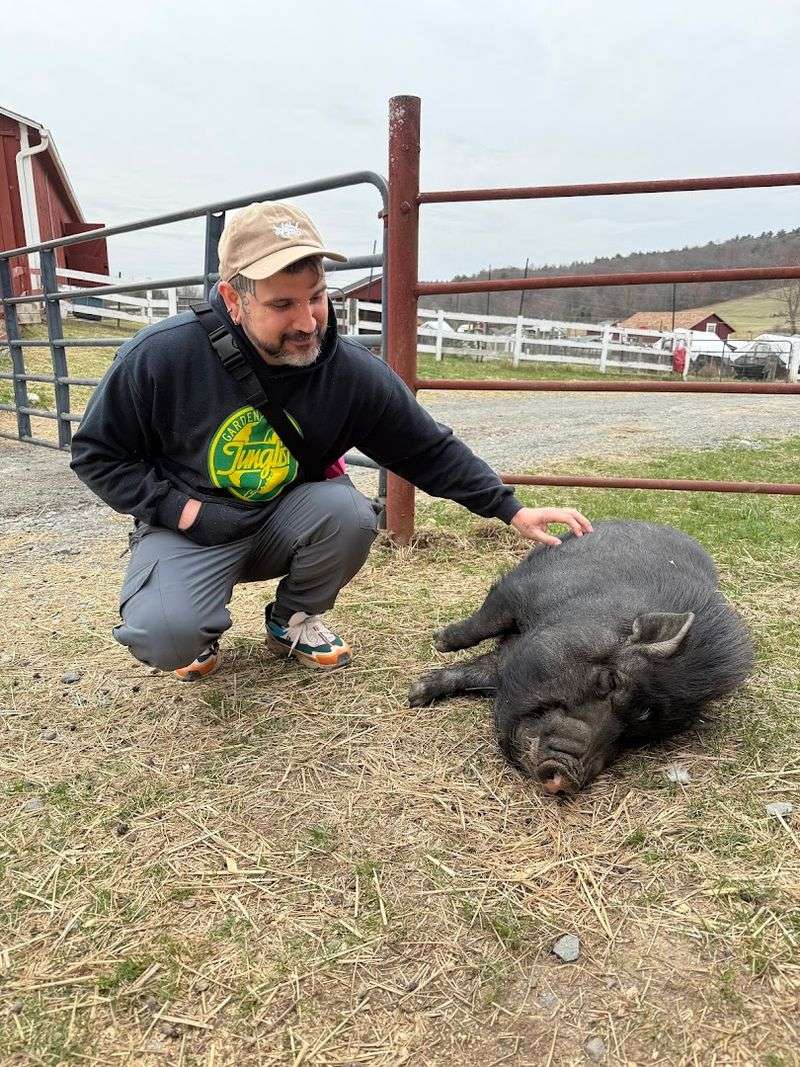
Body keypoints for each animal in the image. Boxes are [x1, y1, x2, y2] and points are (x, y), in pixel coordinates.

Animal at [409, 521, 754, 795]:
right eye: (610, 680)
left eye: (639, 730)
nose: (567, 776)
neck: (584, 611)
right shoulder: (517, 590)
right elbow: (485, 622)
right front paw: (432, 656)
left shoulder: (509, 664)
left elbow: (478, 672)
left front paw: (415, 693)